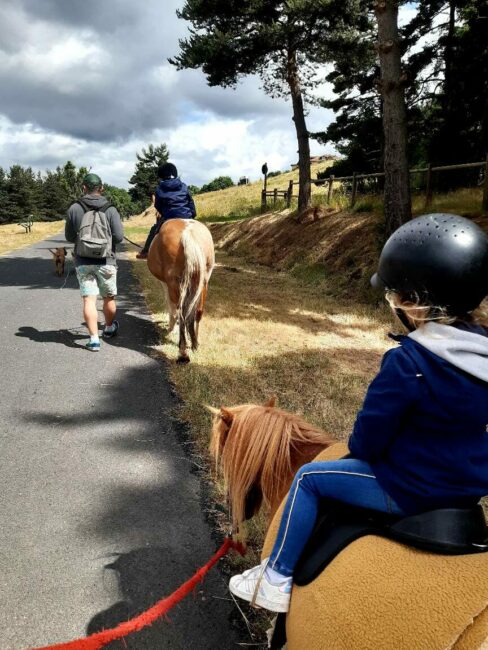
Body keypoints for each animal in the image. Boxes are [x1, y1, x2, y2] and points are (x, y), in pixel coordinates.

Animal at [146, 219, 213, 362]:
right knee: (198, 312)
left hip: (175, 283)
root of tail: (188, 231)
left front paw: (171, 327)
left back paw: (183, 351)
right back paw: (195, 344)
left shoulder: (165, 283)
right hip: (203, 282)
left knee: (181, 312)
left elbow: (170, 306)